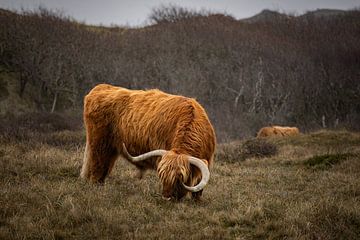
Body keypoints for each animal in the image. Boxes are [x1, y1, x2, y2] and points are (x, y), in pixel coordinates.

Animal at [81, 83, 217, 200]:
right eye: (161, 175)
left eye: (180, 177)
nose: (166, 198)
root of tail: (100, 88)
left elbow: (199, 187)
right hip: (99, 145)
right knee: (97, 167)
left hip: (111, 150)